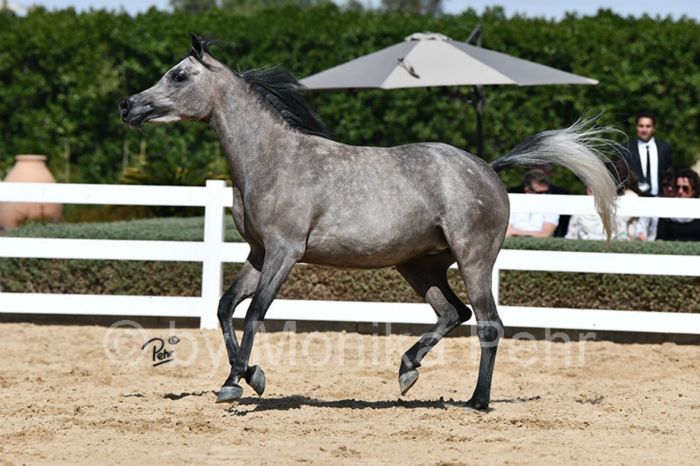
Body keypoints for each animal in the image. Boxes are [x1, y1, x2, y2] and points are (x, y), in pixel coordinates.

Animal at [120, 34, 617, 410]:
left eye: (179, 75)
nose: (128, 106)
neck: (274, 160)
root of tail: (488, 168)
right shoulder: (259, 253)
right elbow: (226, 307)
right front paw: (237, 378)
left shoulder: (285, 251)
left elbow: (256, 311)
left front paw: (244, 381)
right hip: (419, 265)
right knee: (452, 313)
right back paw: (407, 370)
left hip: (473, 259)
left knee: (488, 323)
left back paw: (476, 401)